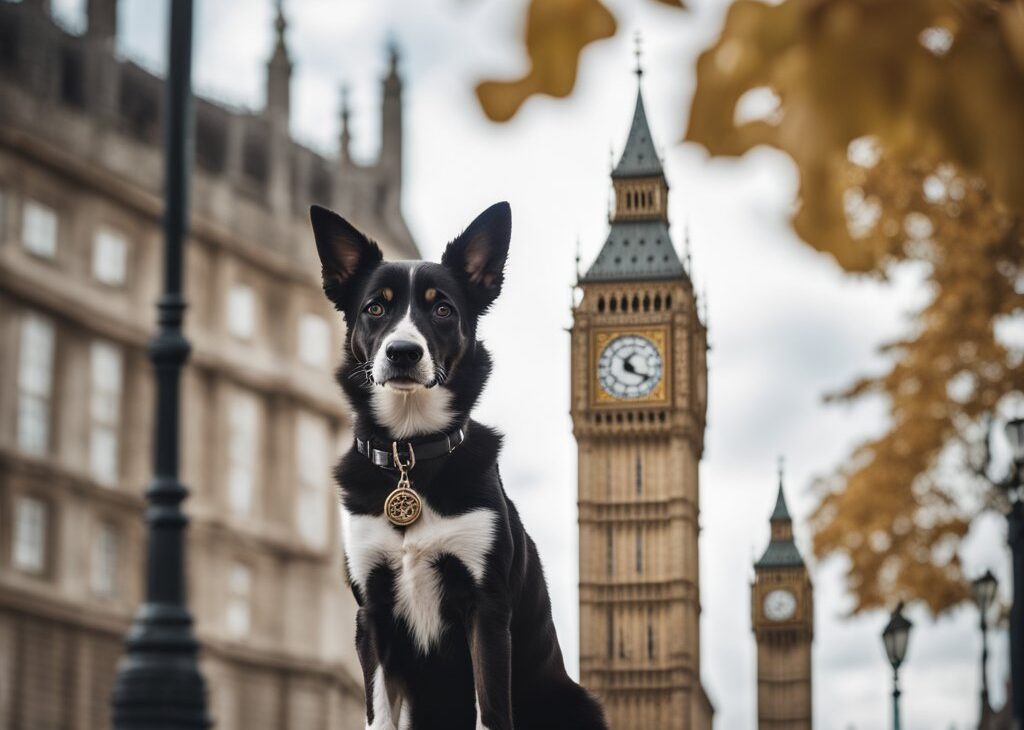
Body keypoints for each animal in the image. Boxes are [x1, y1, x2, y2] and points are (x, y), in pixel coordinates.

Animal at [309, 201, 606, 728]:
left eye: (442, 308)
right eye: (375, 308)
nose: (402, 352)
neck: (409, 455)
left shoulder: (485, 609)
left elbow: (491, 710)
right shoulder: (372, 614)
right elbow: (378, 714)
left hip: (577, 702)